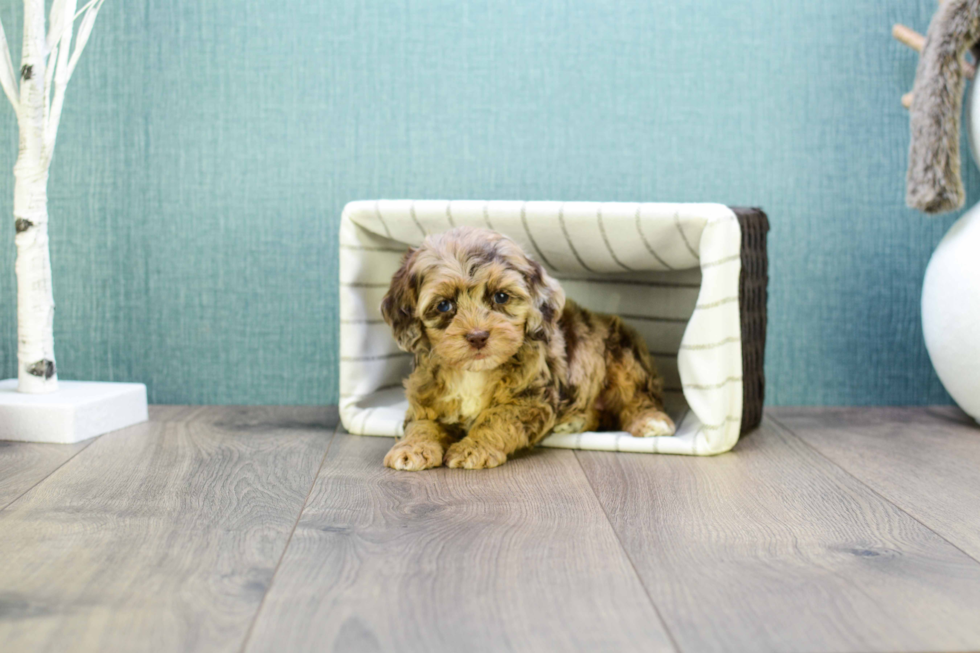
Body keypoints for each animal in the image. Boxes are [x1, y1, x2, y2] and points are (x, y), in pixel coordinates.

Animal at [380, 225, 672, 468]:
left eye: (501, 296)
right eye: (444, 305)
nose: (477, 336)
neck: (474, 372)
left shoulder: (530, 397)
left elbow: (495, 418)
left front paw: (472, 449)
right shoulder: (426, 396)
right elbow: (422, 423)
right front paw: (411, 449)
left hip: (625, 360)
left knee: (637, 397)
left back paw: (652, 422)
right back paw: (575, 420)